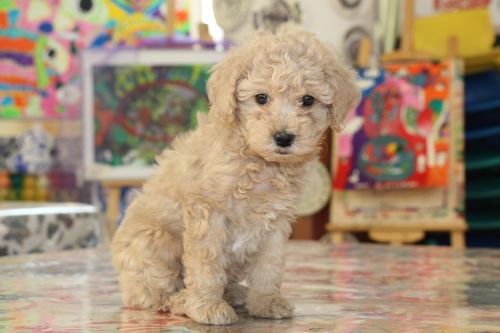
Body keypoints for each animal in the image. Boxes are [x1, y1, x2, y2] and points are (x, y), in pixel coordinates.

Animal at [110, 27, 360, 322]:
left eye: (307, 100)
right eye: (261, 98)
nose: (283, 137)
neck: (258, 162)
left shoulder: (276, 221)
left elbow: (269, 266)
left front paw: (266, 302)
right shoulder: (207, 212)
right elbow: (207, 265)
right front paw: (207, 306)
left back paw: (235, 294)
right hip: (154, 242)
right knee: (151, 296)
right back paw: (182, 301)